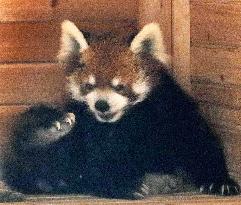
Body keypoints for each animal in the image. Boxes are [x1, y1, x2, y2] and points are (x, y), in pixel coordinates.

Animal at [2, 20, 240, 199]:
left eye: (120, 86)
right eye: (89, 86)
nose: (101, 105)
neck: (123, 121)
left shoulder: (171, 108)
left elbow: (198, 141)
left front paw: (220, 180)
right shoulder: (89, 129)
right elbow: (94, 163)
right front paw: (119, 184)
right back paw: (50, 128)